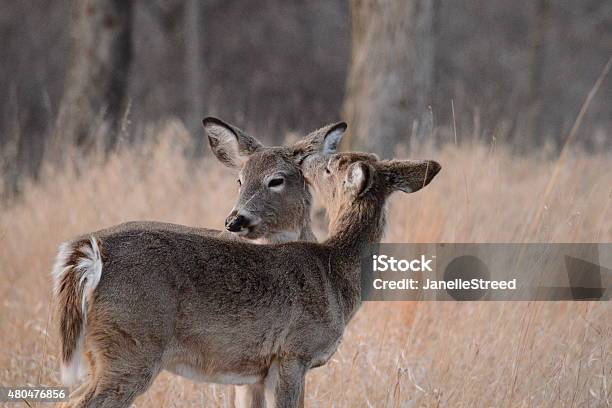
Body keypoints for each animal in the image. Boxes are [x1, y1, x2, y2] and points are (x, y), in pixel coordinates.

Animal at [52, 147, 440, 408]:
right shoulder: (293, 353)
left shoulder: (260, 370)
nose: (309, 158)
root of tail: (89, 253)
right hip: (131, 345)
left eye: (330, 167)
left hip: (108, 350)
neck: (334, 272)